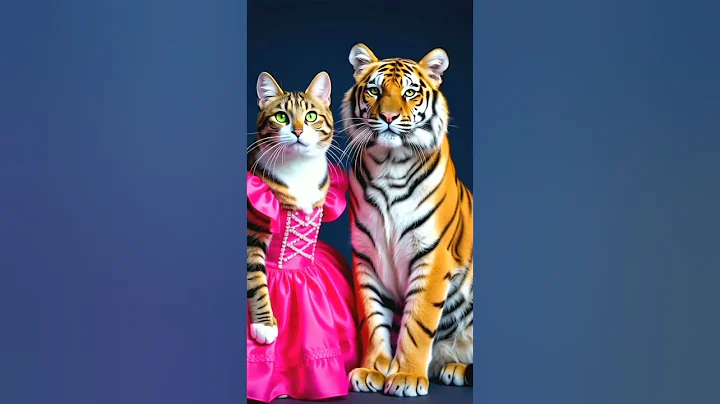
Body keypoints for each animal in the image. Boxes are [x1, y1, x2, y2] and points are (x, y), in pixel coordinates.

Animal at [246, 71, 334, 344]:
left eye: (311, 116)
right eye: (282, 116)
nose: (297, 131)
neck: (298, 167)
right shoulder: (252, 231)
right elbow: (255, 278)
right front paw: (264, 323)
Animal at [341, 44, 474, 397]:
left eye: (410, 92)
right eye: (374, 90)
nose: (388, 117)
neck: (390, 164)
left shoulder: (432, 256)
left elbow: (418, 322)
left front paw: (406, 376)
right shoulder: (366, 256)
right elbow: (372, 318)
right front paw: (372, 370)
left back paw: (456, 368)